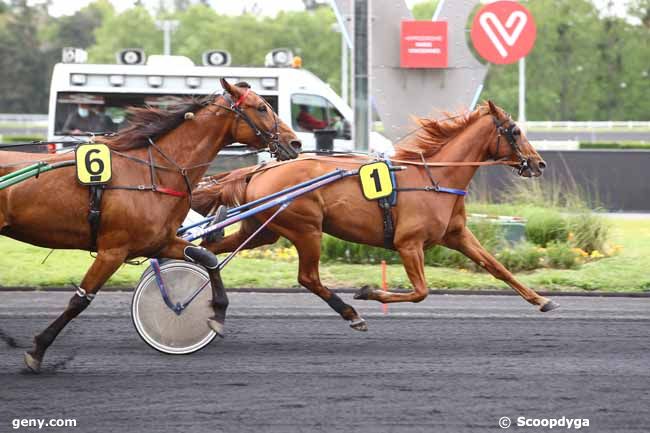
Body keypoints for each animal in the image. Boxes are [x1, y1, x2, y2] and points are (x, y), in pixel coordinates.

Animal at [0, 79, 298, 370]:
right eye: (262, 107)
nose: (295, 142)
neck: (152, 173)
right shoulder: (113, 251)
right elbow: (80, 299)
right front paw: (38, 349)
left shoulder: (159, 241)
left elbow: (207, 257)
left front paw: (216, 313)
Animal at [192, 101, 556, 330]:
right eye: (514, 131)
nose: (540, 163)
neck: (435, 178)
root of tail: (262, 169)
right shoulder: (409, 244)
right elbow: (421, 292)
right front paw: (369, 292)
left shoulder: (458, 236)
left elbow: (497, 267)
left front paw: (541, 300)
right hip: (306, 229)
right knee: (308, 278)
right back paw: (351, 313)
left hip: (264, 229)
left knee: (210, 251)